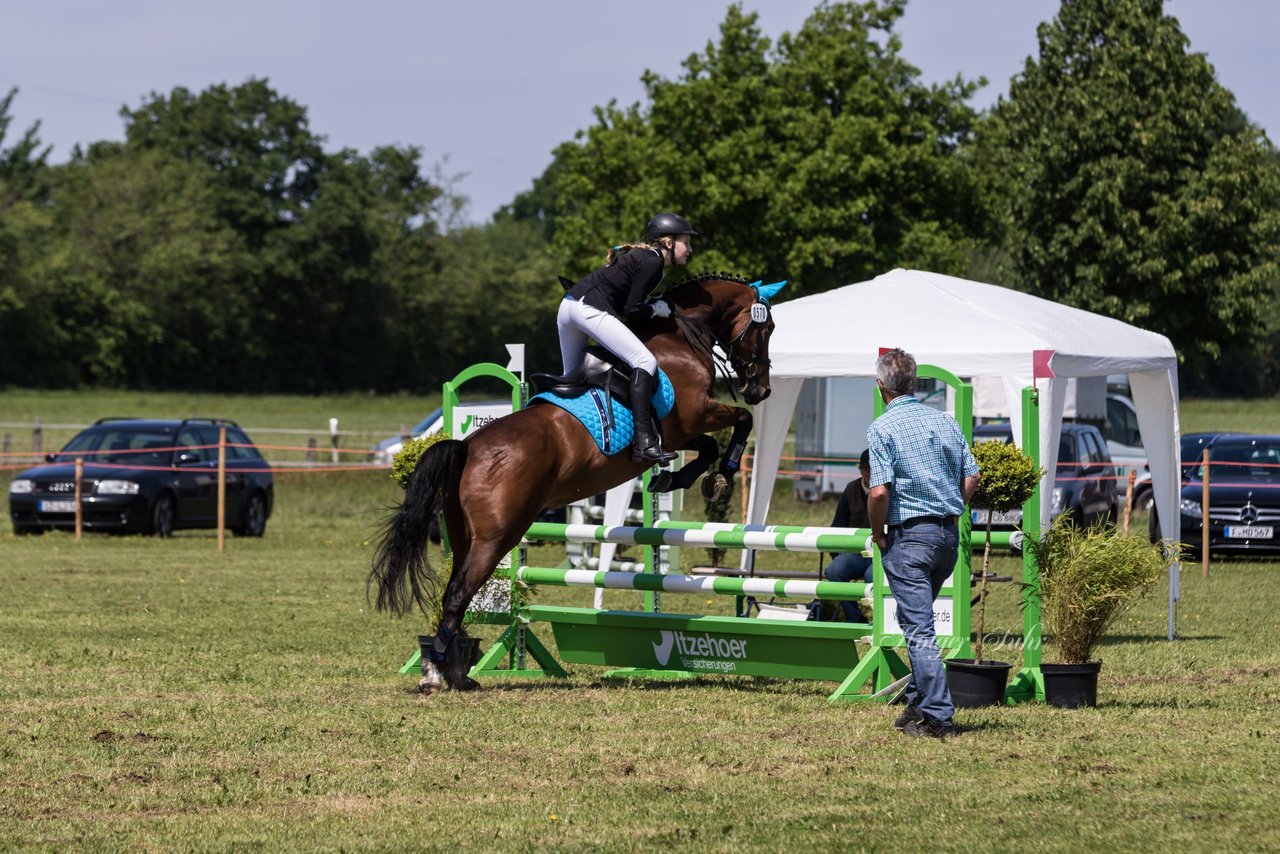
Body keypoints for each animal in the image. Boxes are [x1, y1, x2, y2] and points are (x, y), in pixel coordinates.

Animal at [366, 275, 773, 696]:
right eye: (767, 329)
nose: (760, 391)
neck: (680, 338)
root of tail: (467, 447)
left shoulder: (684, 430)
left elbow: (711, 443)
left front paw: (679, 477)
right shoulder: (693, 417)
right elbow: (737, 424)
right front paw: (717, 475)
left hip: (464, 535)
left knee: (453, 594)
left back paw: (455, 673)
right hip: (498, 536)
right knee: (460, 592)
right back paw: (440, 673)